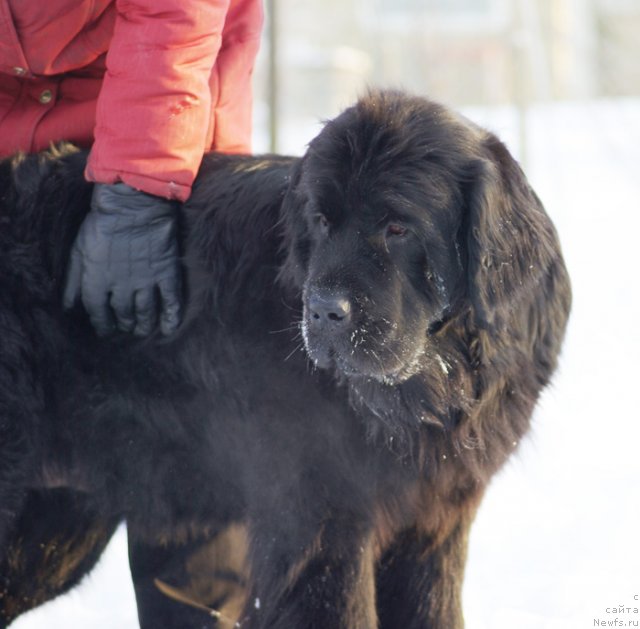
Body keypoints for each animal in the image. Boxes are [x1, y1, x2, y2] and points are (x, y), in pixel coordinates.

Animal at [0, 91, 568, 624]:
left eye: (398, 228)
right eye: (321, 221)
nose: (323, 311)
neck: (430, 385)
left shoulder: (434, 522)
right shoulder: (320, 521)